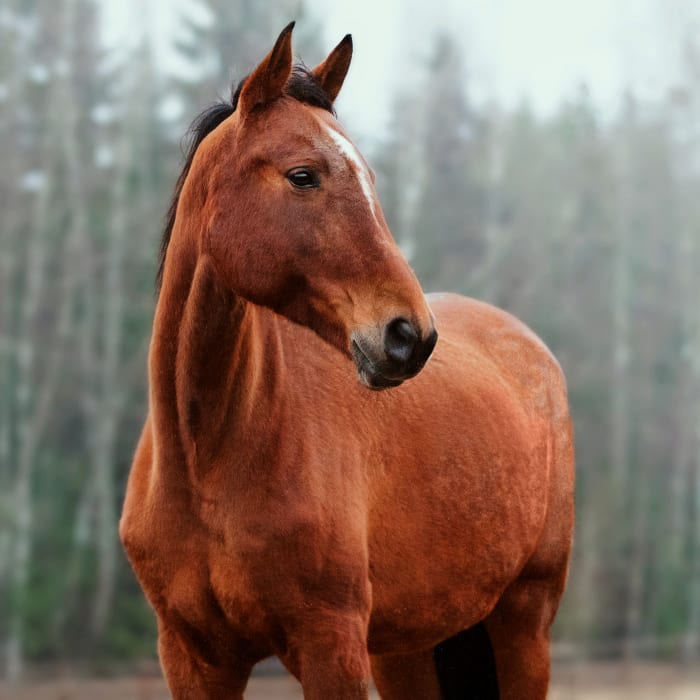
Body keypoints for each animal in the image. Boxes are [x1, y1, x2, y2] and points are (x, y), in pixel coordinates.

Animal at [120, 21, 576, 700]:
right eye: (303, 175)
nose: (410, 337)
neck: (209, 458)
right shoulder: (194, 659)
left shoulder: (330, 647)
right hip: (407, 650)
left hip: (524, 624)